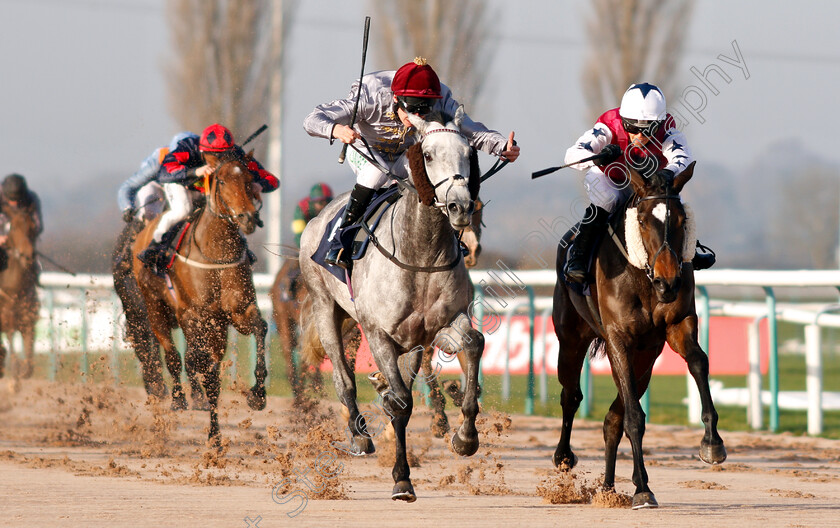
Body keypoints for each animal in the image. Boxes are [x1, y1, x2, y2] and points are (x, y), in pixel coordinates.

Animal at [133, 153, 268, 442]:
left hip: (217, 329)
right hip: (155, 306)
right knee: (173, 355)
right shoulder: (195, 314)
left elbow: (260, 328)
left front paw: (258, 394)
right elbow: (201, 366)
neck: (216, 254)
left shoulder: (237, 312)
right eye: (223, 181)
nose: (248, 217)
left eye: (250, 179)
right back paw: (179, 399)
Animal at [300, 107, 486, 504]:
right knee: (343, 378)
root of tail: (318, 217)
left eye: (469, 153)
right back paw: (359, 435)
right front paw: (402, 479)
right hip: (325, 308)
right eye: (427, 155)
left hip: (411, 343)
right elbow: (400, 402)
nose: (460, 206)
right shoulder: (378, 333)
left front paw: (464, 437)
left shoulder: (441, 325)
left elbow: (473, 344)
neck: (421, 252)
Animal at [556, 163, 724, 510]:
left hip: (644, 358)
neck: (644, 279)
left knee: (611, 418)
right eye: (644, 220)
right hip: (571, 339)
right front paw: (643, 489)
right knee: (572, 396)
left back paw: (608, 488)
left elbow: (699, 362)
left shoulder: (676, 325)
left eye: (681, 220)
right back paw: (564, 457)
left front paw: (712, 443)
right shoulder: (618, 338)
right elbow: (634, 416)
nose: (668, 281)